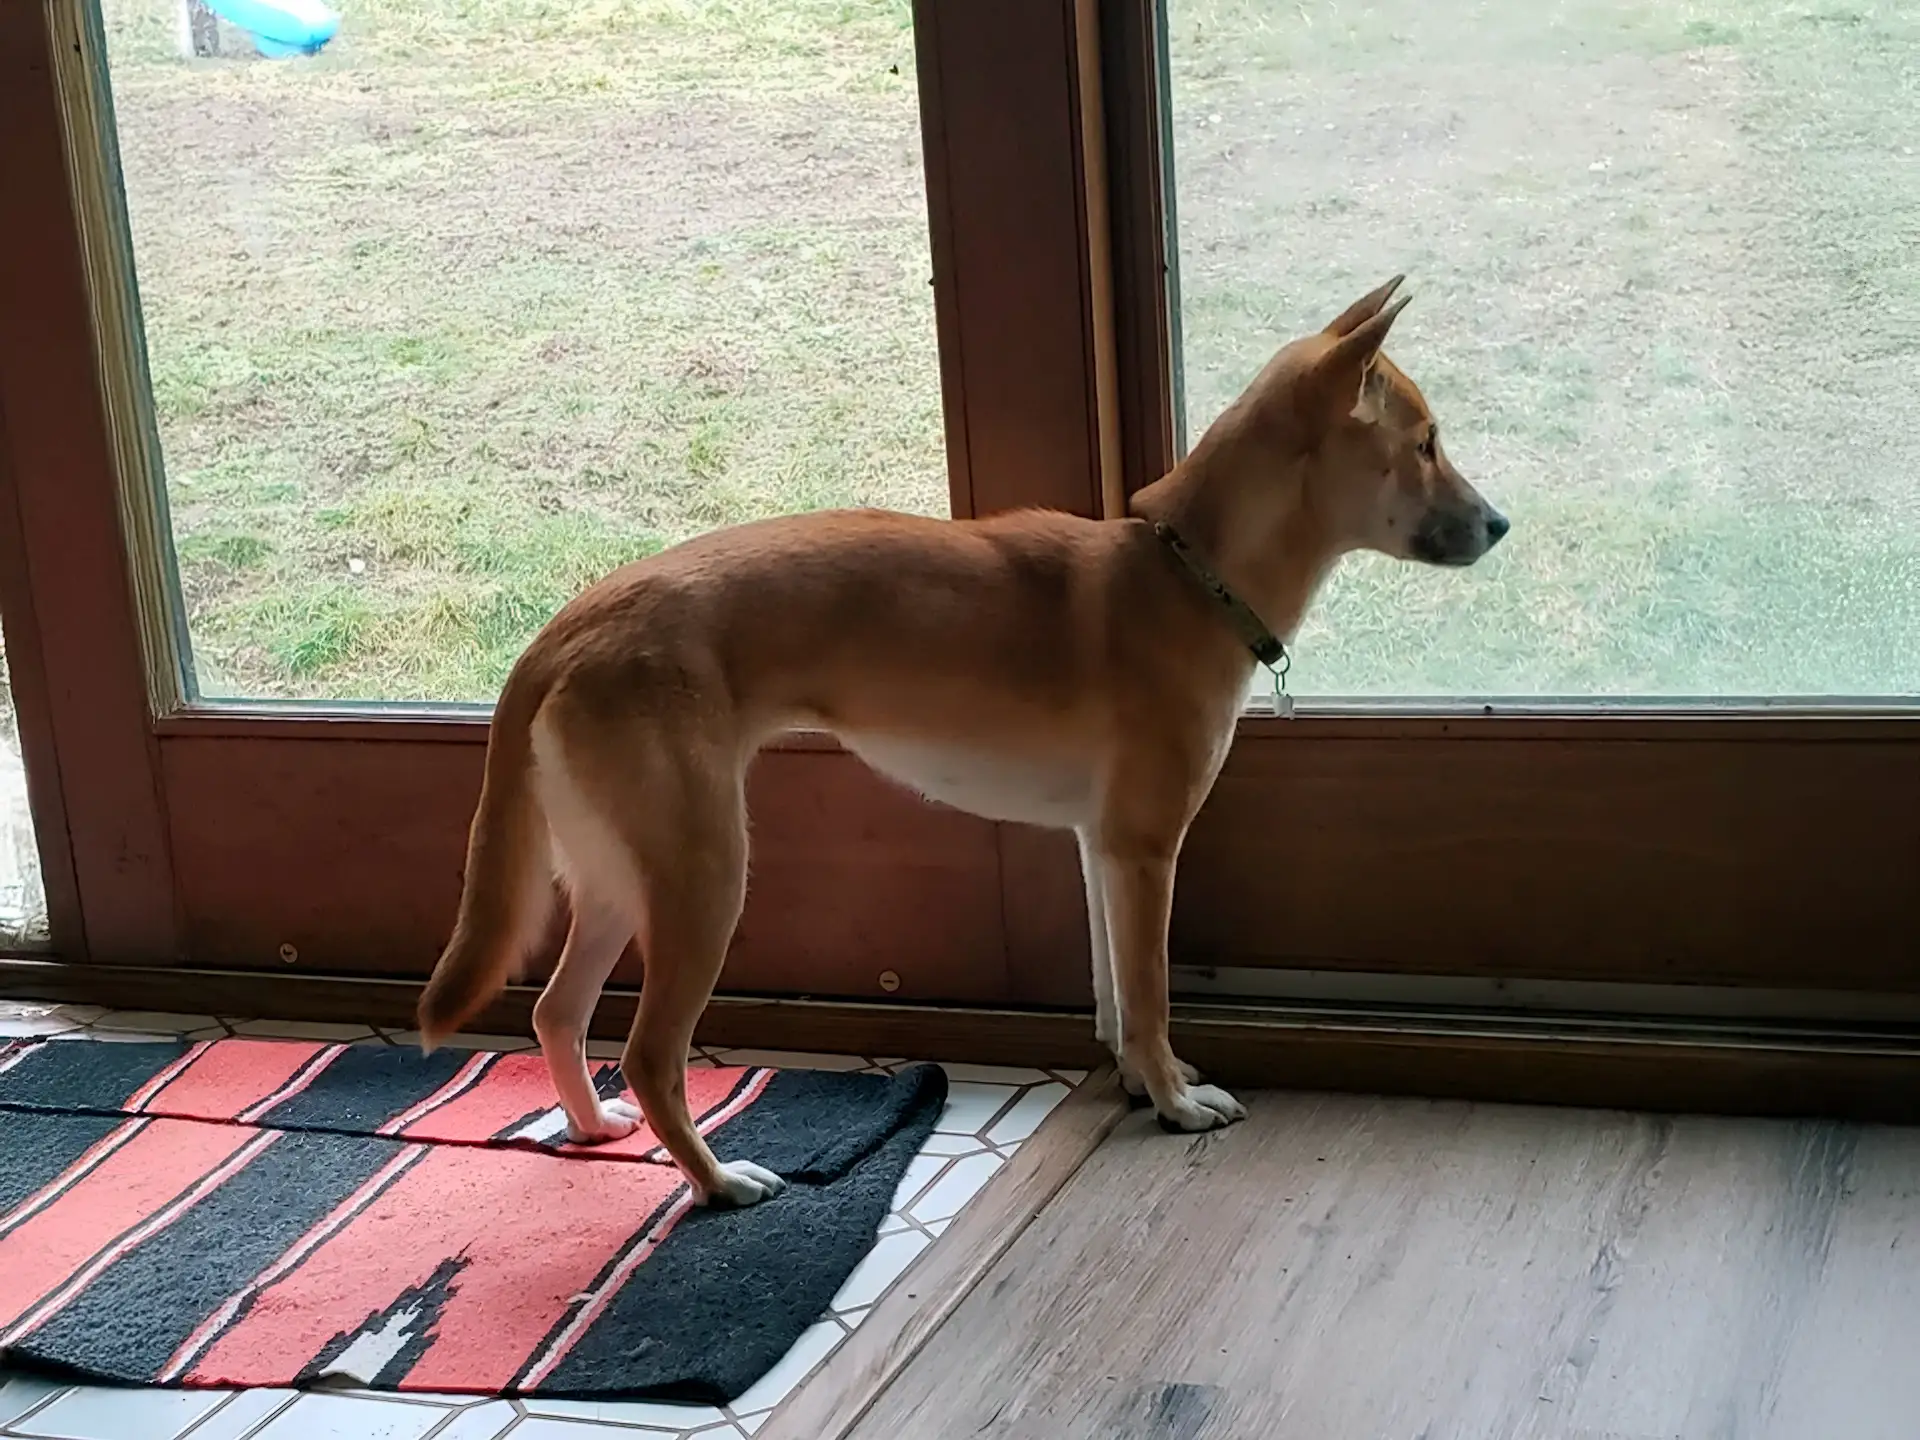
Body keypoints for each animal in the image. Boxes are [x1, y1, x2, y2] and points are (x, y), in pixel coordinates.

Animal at [424, 278, 1512, 1205]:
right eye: (1426, 443)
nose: (1502, 526)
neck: (1186, 577)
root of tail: (571, 624)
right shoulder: (1145, 851)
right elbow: (1152, 993)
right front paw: (1172, 1101)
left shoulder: (1100, 851)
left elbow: (1117, 996)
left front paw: (1136, 1080)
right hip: (702, 877)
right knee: (650, 1054)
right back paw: (718, 1182)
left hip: (618, 875)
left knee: (555, 1012)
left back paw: (591, 1127)